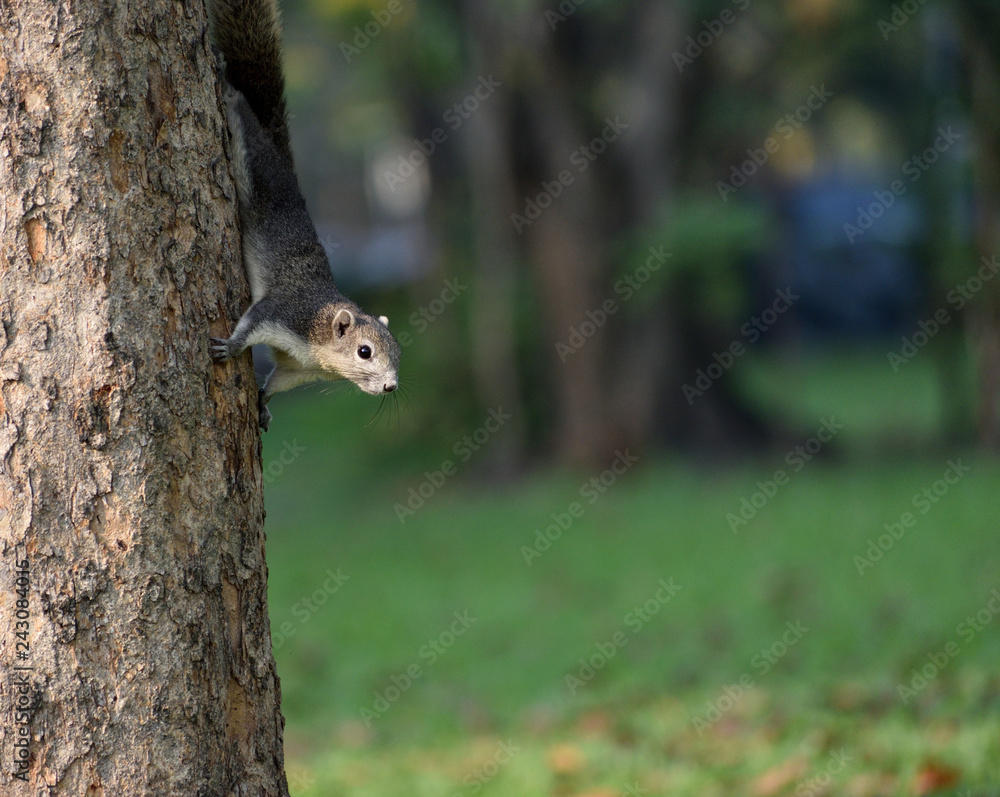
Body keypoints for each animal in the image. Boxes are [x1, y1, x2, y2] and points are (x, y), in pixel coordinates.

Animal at [207, 0, 400, 431]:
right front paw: (230, 345)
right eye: (364, 352)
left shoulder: (297, 369)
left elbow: (276, 381)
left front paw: (263, 405)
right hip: (257, 164)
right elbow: (252, 323)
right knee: (242, 113)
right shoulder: (285, 313)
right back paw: (225, 83)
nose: (392, 386)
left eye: (398, 351)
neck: (320, 348)